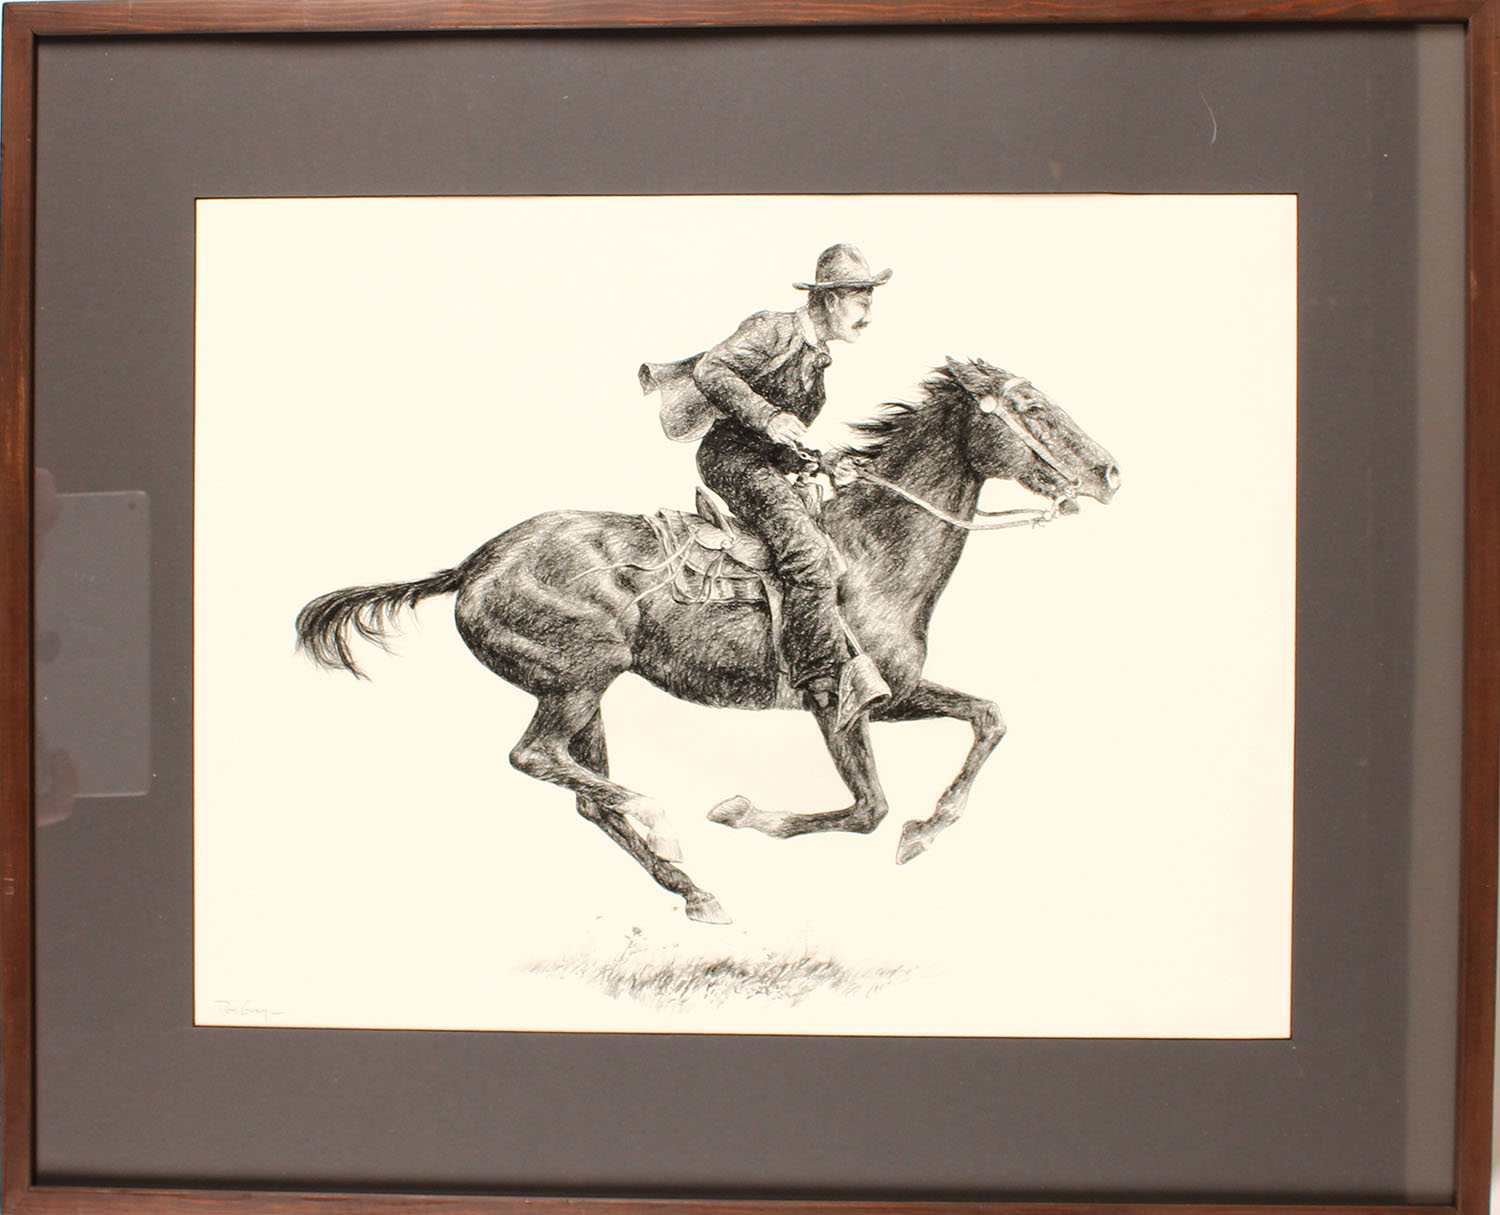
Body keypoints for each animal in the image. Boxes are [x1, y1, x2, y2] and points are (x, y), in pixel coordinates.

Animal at [295, 357, 1120, 925]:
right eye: (1031, 407)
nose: (1110, 471)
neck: (869, 550)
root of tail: (476, 563)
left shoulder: (900, 692)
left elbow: (988, 718)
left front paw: (931, 827)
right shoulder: (837, 700)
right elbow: (867, 808)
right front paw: (741, 811)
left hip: (585, 694)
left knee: (582, 791)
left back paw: (694, 890)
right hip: (579, 680)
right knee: (537, 758)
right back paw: (666, 824)